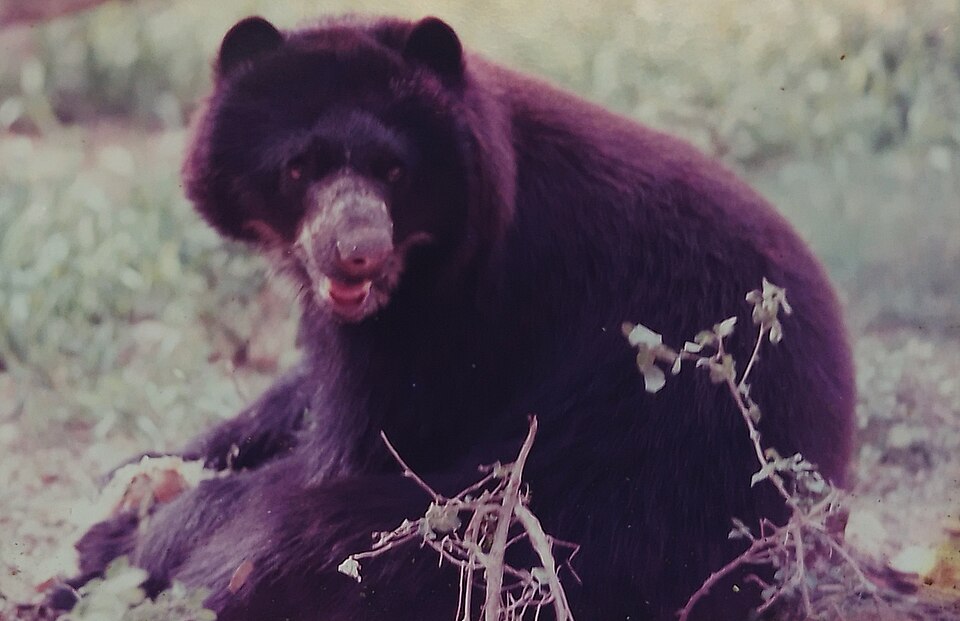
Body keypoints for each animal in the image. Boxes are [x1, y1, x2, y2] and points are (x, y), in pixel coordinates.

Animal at [55, 13, 855, 621]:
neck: (415, 268)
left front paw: (133, 534)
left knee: (293, 545)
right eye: (298, 167)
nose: (357, 252)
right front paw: (133, 473)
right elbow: (297, 398)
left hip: (629, 499)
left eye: (394, 171)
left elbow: (347, 450)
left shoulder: (459, 320)